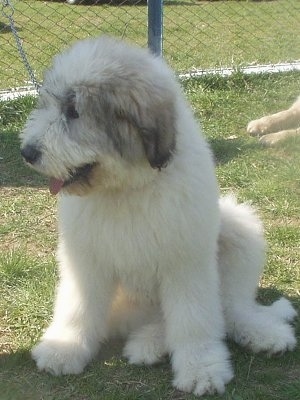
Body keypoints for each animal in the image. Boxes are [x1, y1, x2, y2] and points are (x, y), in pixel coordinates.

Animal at [19, 35, 296, 396]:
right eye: (50, 105)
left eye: (74, 111)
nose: (27, 152)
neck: (126, 188)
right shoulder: (85, 259)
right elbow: (77, 306)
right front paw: (63, 349)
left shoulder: (186, 261)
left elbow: (194, 320)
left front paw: (201, 368)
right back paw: (149, 343)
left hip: (238, 228)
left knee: (229, 307)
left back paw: (264, 334)